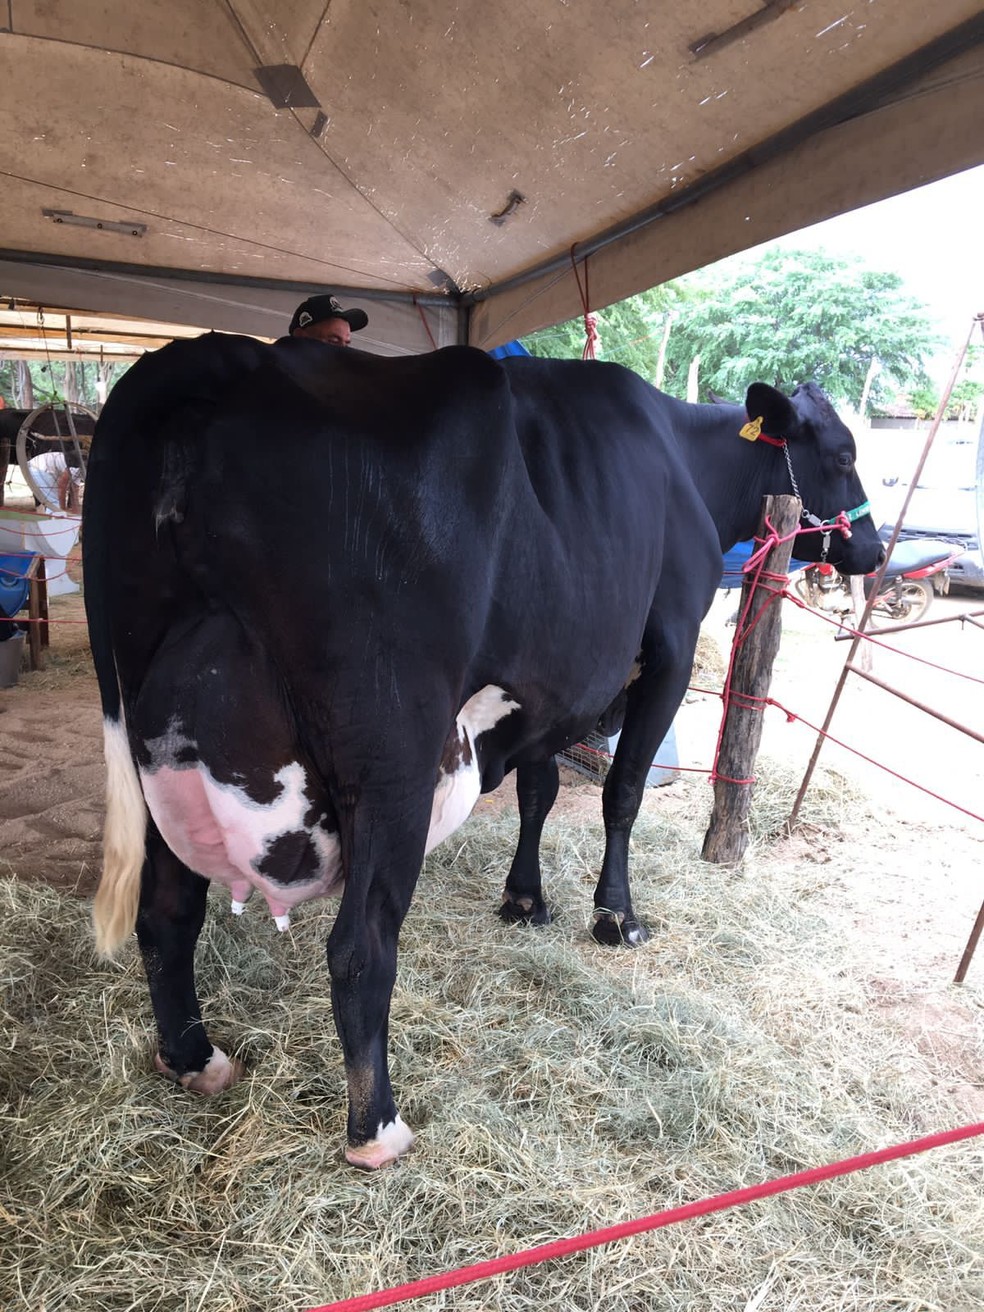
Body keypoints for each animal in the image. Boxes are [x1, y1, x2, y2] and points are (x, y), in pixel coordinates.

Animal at [498, 371, 883, 932]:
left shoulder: (559, 681)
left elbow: (537, 786)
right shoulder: (671, 656)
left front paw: (525, 898)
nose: (877, 550)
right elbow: (624, 787)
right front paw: (617, 911)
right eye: (844, 457)